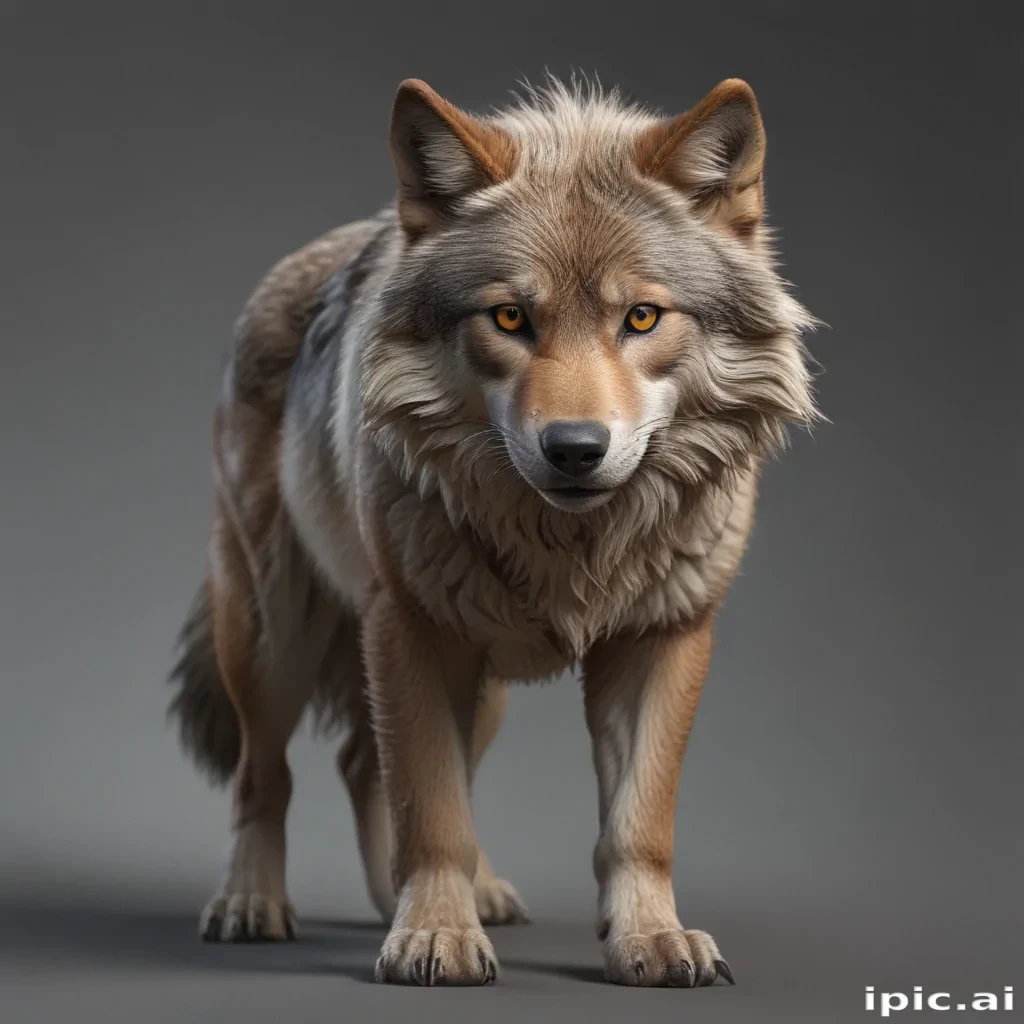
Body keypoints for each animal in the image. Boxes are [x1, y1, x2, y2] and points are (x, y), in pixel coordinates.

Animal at [167, 74, 818, 988]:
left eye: (642, 318)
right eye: (509, 319)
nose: (575, 448)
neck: (572, 547)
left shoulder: (665, 637)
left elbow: (637, 823)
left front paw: (650, 940)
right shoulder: (411, 630)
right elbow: (432, 808)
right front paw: (436, 937)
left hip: (486, 691)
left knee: (363, 763)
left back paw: (444, 897)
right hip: (274, 640)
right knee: (267, 776)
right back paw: (253, 904)